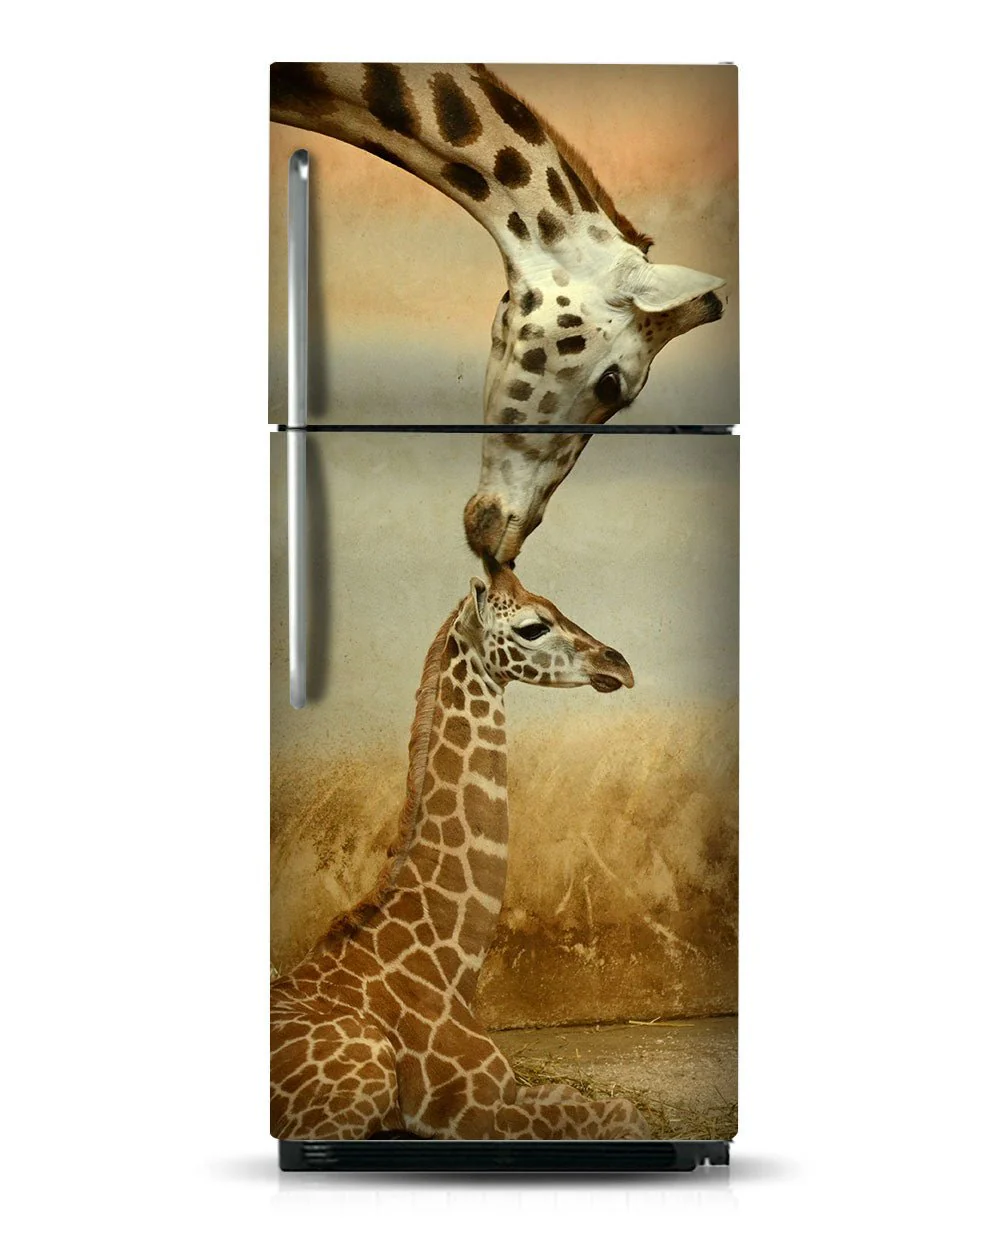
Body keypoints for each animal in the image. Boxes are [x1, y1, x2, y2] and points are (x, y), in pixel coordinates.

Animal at [271, 565, 649, 1140]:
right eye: (534, 626)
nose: (619, 665)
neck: (450, 961)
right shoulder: (471, 1108)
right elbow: (626, 1116)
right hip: (359, 1082)